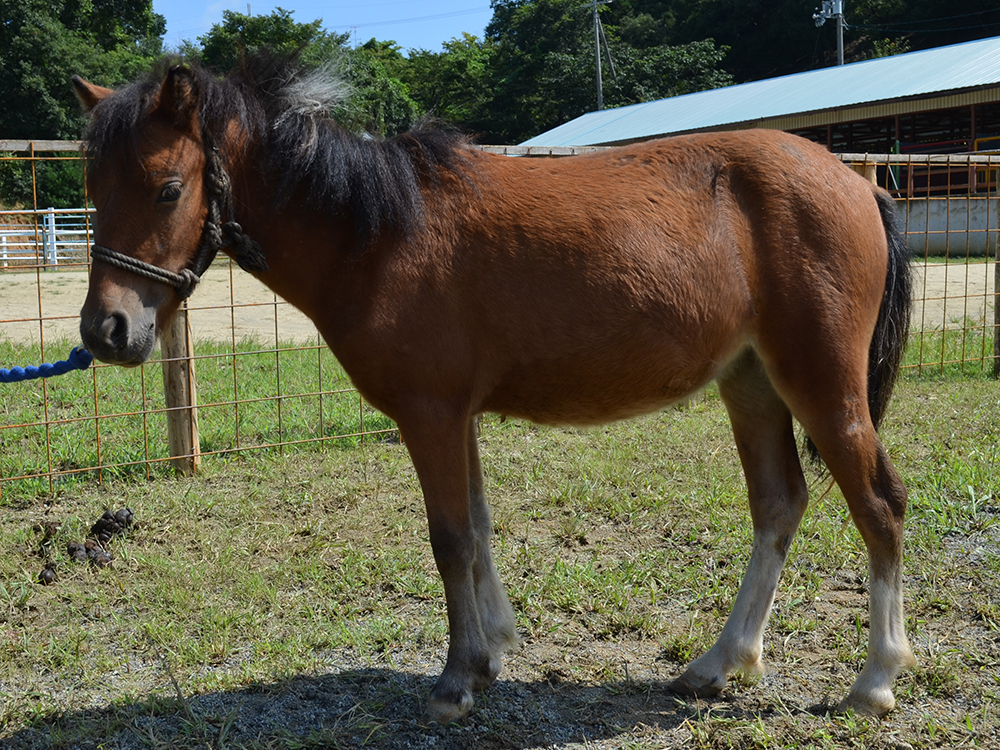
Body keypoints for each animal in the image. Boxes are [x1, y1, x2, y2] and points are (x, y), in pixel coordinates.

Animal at [70, 55, 916, 724]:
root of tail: (856, 186)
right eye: (92, 187)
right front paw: (491, 653)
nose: (106, 330)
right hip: (752, 384)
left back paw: (874, 682)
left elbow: (449, 540)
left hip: (823, 386)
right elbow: (477, 530)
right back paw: (719, 664)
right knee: (778, 504)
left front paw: (454, 681)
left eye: (167, 187)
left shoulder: (430, 414)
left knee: (878, 505)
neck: (377, 232)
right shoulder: (458, 415)